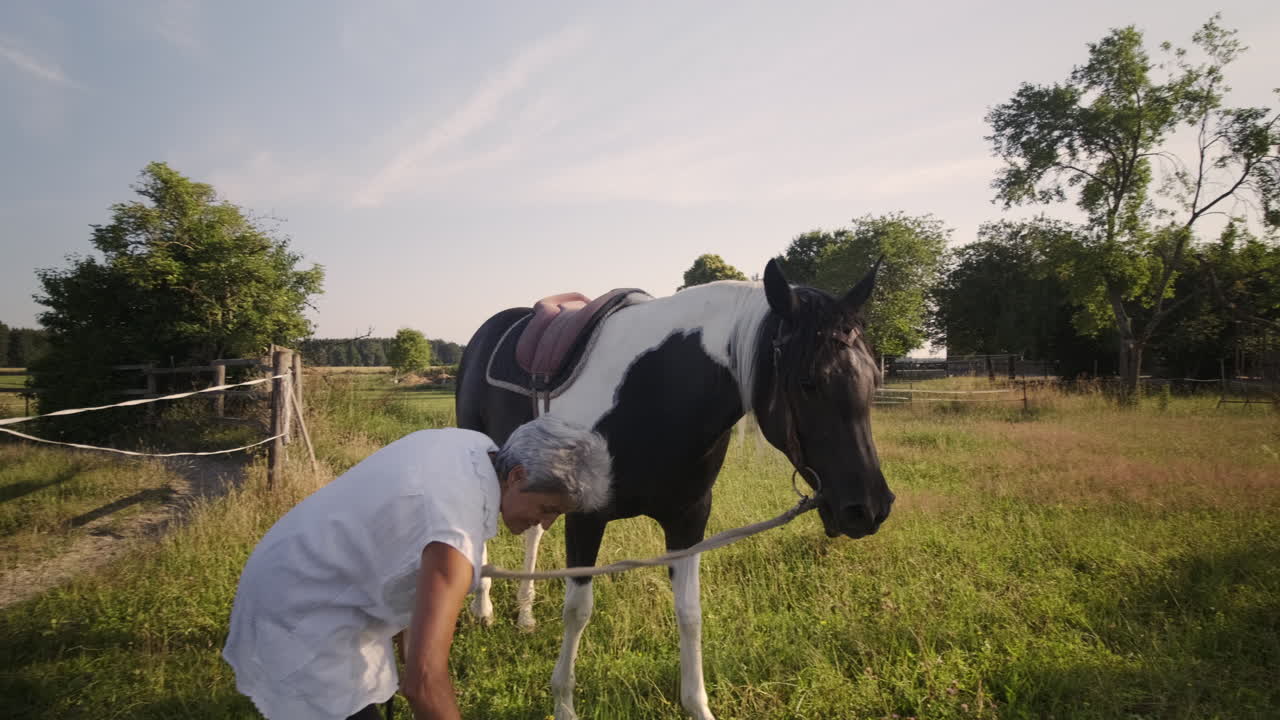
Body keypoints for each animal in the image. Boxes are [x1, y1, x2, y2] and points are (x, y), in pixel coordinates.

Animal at [455, 259, 894, 720]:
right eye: (808, 383)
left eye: (873, 377)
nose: (870, 508)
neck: (654, 391)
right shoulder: (586, 518)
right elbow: (577, 610)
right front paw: (563, 704)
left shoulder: (688, 520)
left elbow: (689, 612)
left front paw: (698, 705)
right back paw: (483, 609)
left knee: (534, 534)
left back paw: (524, 615)